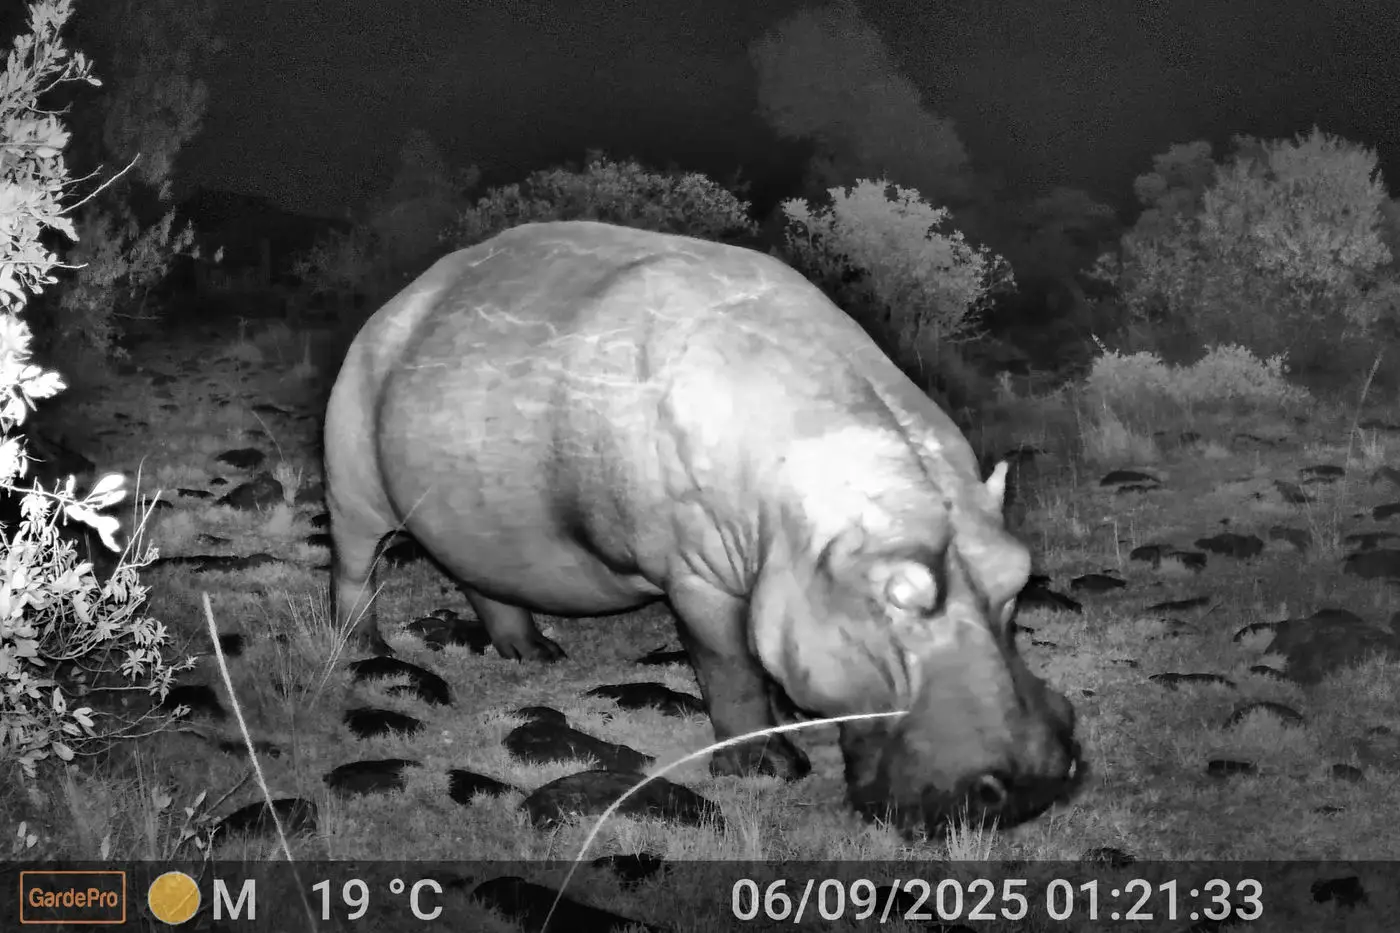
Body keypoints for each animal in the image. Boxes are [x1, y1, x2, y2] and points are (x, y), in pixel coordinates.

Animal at [322, 220, 1084, 833]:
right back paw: (363, 650)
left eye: (1017, 575)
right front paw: (770, 766)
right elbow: (729, 667)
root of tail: (398, 303)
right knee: (354, 568)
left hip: (477, 517)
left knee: (483, 579)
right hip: (353, 486)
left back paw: (534, 656)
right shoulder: (699, 575)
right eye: (896, 596)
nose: (1034, 781)